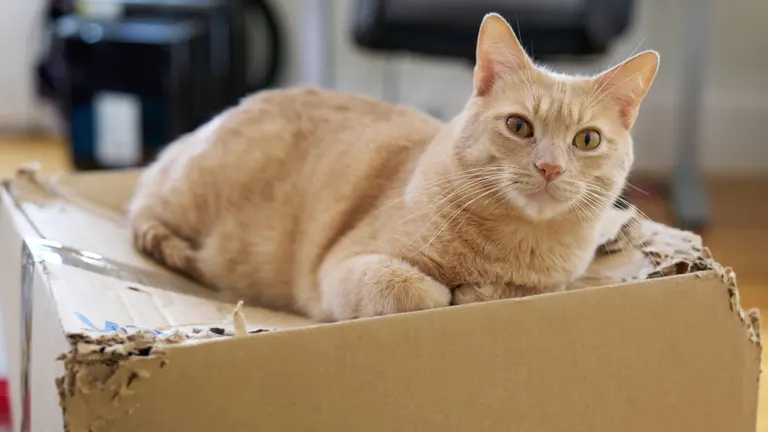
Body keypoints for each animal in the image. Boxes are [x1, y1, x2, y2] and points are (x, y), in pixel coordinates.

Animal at [129, 13, 656, 320]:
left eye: (587, 140)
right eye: (519, 126)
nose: (549, 167)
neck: (514, 245)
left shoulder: (551, 285)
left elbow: (500, 293)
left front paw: (481, 291)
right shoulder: (341, 268)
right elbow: (417, 289)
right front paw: (450, 292)